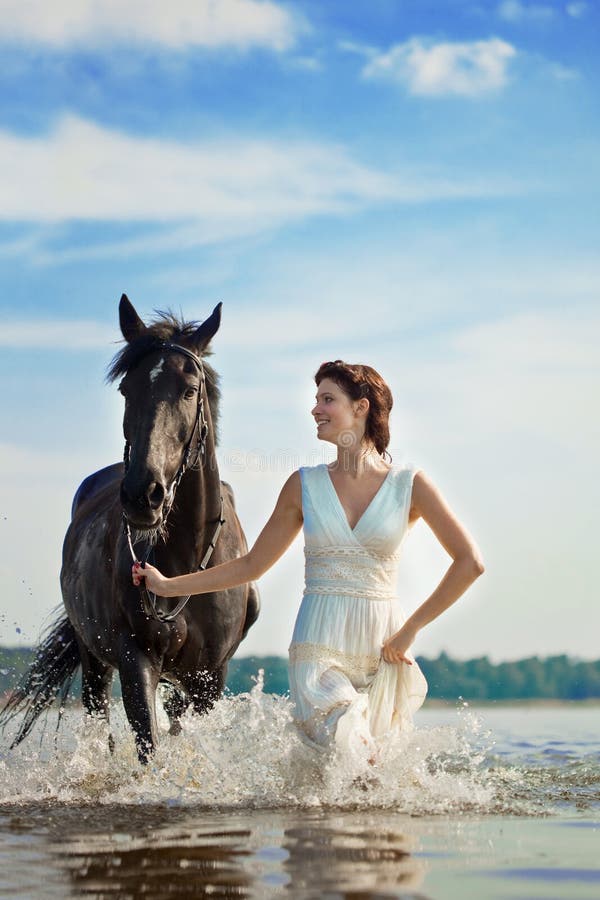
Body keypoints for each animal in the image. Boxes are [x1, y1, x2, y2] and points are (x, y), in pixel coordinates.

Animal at [2, 294, 260, 760]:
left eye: (189, 390)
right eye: (127, 389)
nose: (143, 494)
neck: (187, 561)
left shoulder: (210, 677)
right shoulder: (135, 659)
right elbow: (148, 743)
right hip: (93, 657)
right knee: (97, 713)